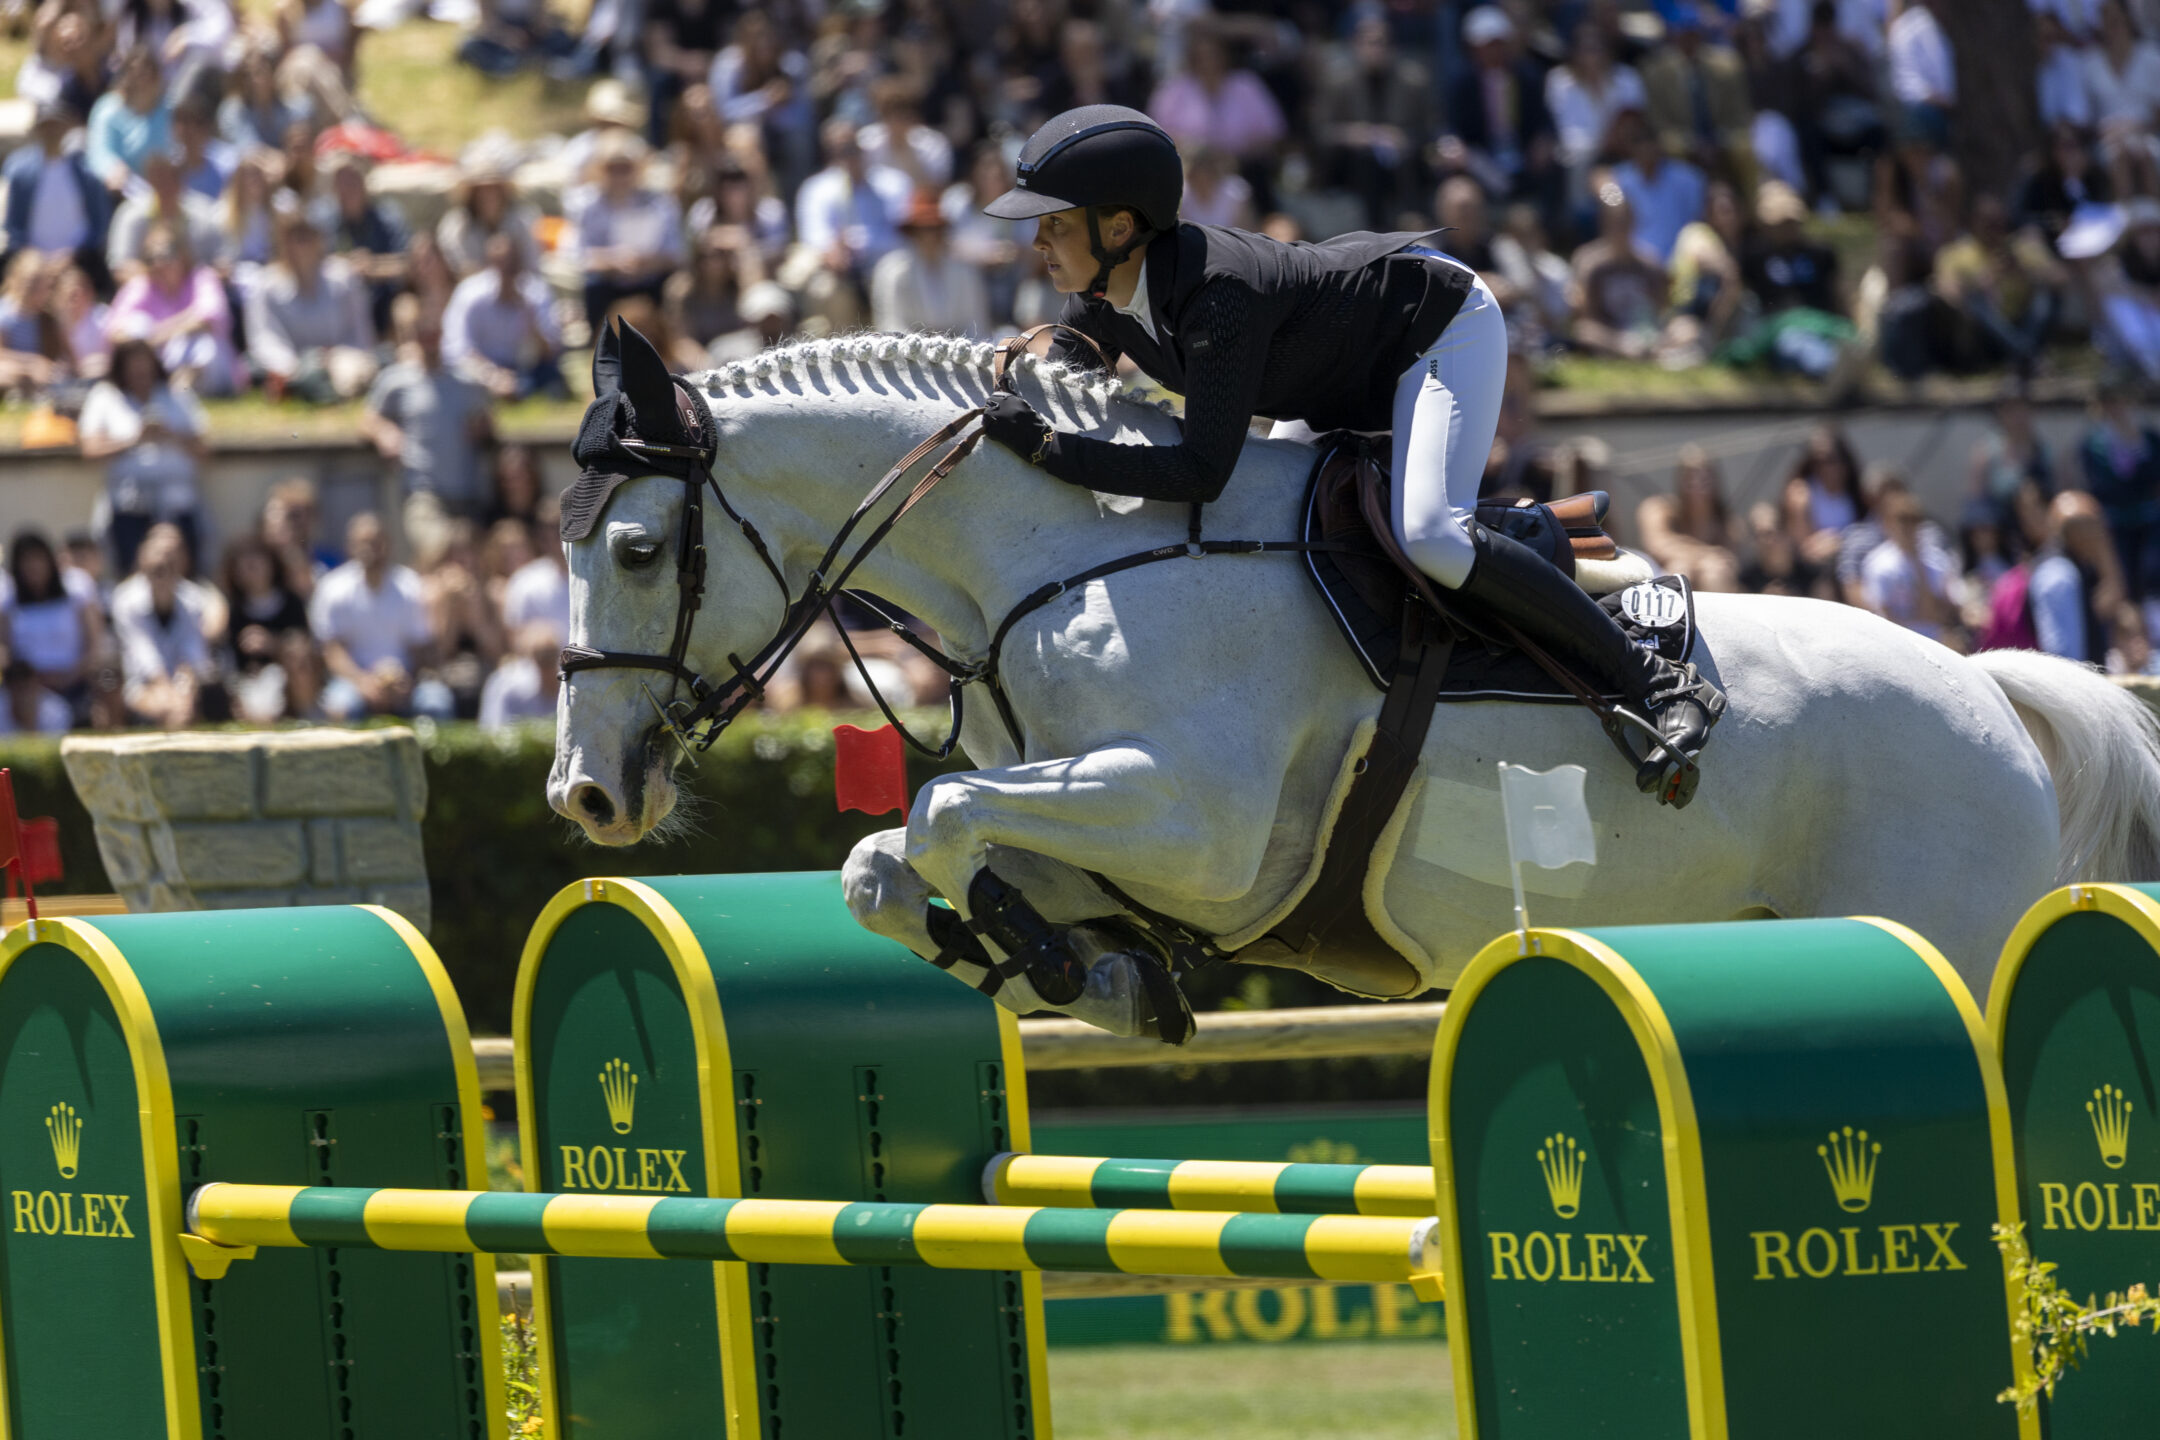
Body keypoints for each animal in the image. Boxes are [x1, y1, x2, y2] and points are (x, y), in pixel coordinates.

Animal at [549, 322, 2160, 1036]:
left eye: (634, 546)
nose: (586, 796)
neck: (1066, 556)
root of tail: (1988, 691)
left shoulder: (1196, 824)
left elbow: (938, 816)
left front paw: (1070, 964)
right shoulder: (1105, 811)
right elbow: (891, 858)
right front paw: (1090, 970)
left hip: (1944, 923)